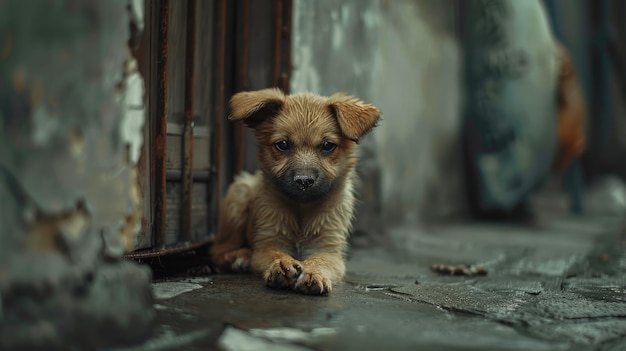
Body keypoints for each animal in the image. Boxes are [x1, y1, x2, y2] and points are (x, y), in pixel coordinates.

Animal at [210, 88, 378, 294]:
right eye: (282, 144)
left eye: (328, 145)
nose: (304, 181)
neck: (301, 209)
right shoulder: (268, 243)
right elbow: (274, 253)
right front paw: (282, 264)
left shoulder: (328, 249)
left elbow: (320, 260)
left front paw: (314, 273)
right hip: (240, 193)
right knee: (218, 248)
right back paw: (238, 256)